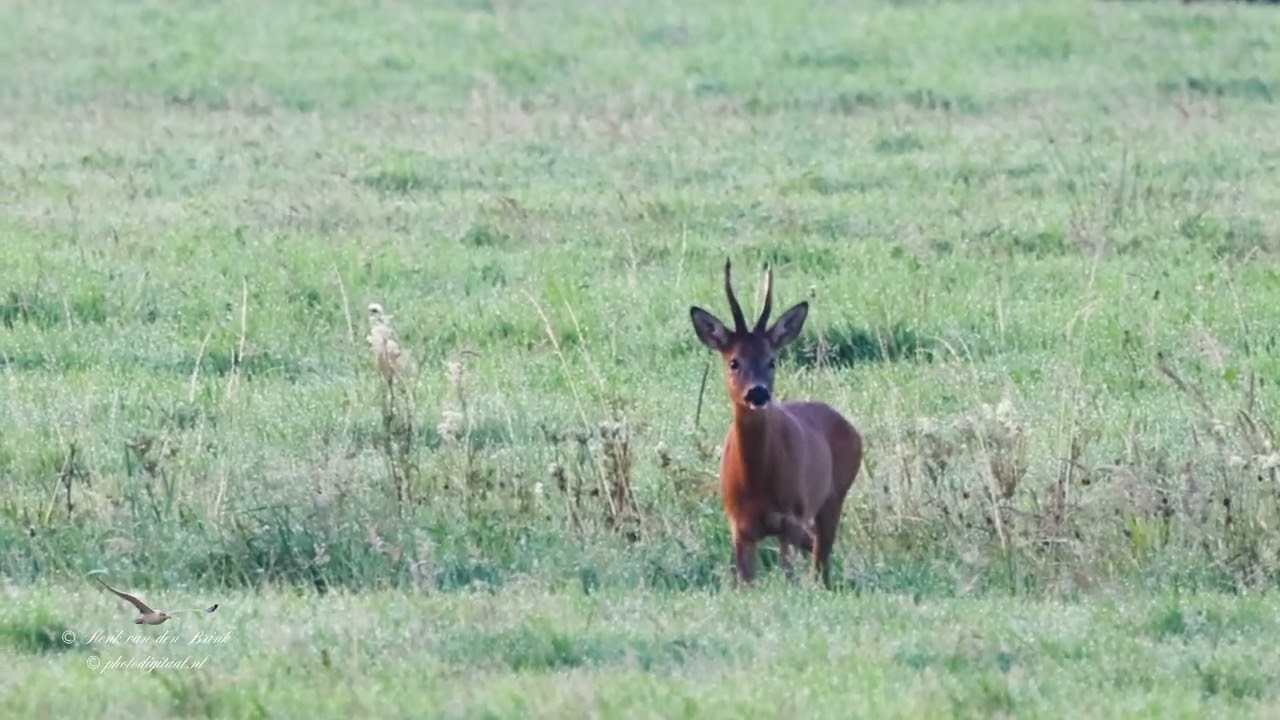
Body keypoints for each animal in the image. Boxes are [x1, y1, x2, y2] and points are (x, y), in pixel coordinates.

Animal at [689, 259, 863, 589]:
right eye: (734, 362)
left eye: (772, 360)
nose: (757, 393)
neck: (756, 482)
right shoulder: (739, 527)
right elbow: (747, 581)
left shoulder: (791, 517)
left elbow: (789, 573)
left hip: (833, 496)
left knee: (821, 560)